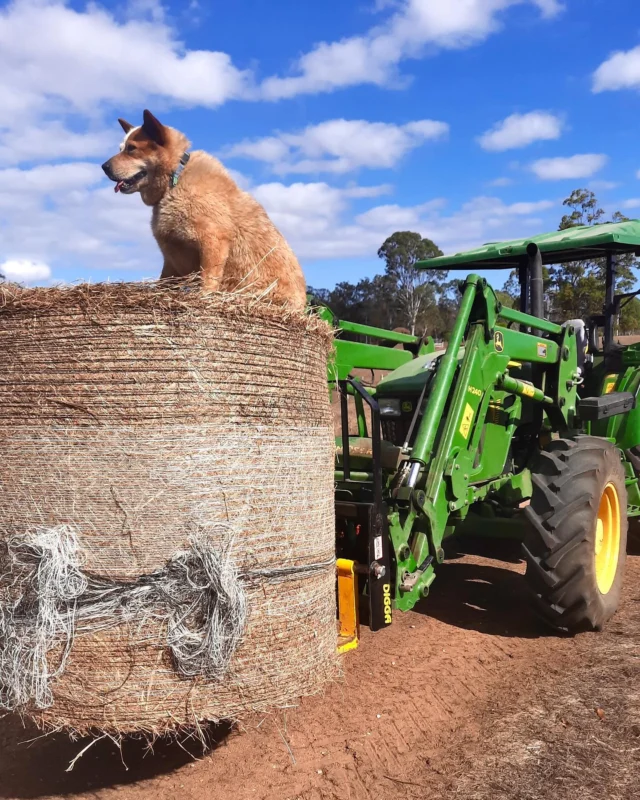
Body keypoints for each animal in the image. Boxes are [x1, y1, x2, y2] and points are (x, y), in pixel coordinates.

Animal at [102, 111, 308, 310]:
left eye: (131, 148)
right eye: (121, 148)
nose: (103, 167)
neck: (174, 181)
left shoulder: (213, 241)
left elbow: (208, 279)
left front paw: (204, 297)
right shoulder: (171, 261)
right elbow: (163, 283)